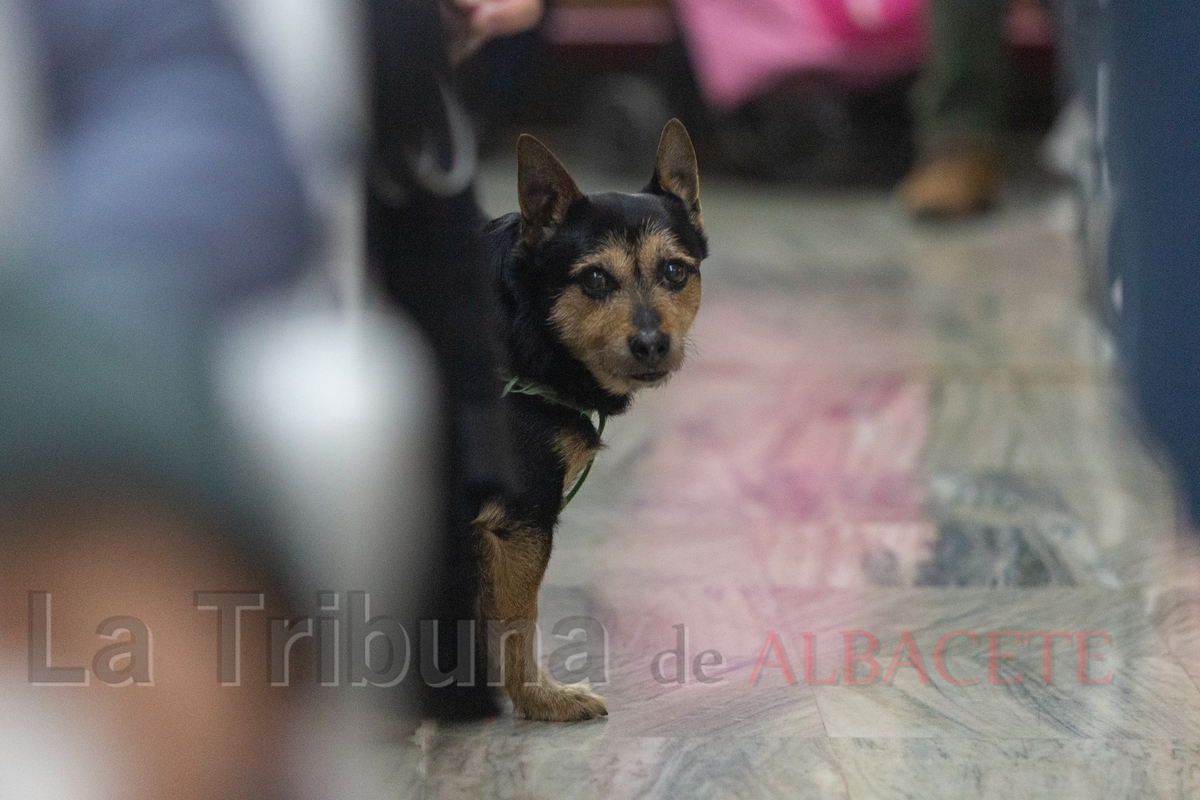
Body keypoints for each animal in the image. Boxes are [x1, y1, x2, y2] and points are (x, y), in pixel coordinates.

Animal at [475, 120, 705, 724]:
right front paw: (539, 698)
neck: (526, 322)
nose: (651, 344)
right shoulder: (522, 519)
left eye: (675, 271)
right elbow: (517, 621)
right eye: (596, 279)